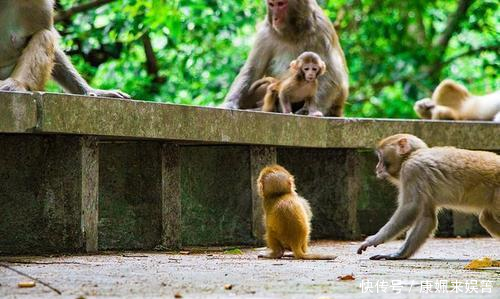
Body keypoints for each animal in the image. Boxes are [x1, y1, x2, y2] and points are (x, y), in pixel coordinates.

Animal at [358, 135, 500, 262]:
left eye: (380, 157)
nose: (377, 168)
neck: (411, 155)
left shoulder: (412, 170)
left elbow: (410, 208)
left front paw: (373, 239)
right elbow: (427, 218)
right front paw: (398, 255)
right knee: (486, 218)